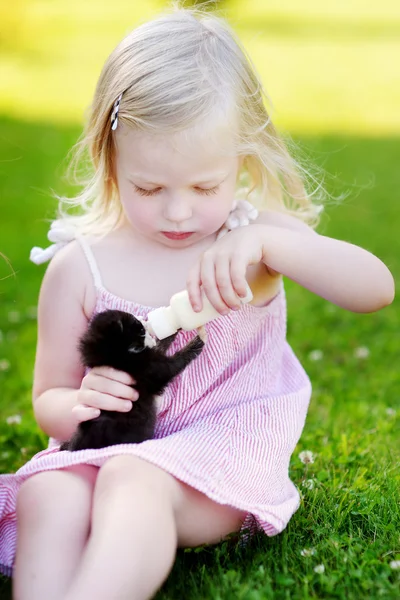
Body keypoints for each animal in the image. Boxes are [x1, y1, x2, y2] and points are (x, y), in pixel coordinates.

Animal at [61, 310, 205, 450]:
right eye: (140, 328)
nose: (144, 318)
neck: (115, 358)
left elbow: (158, 347)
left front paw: (169, 332)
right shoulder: (151, 369)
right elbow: (175, 363)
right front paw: (198, 341)